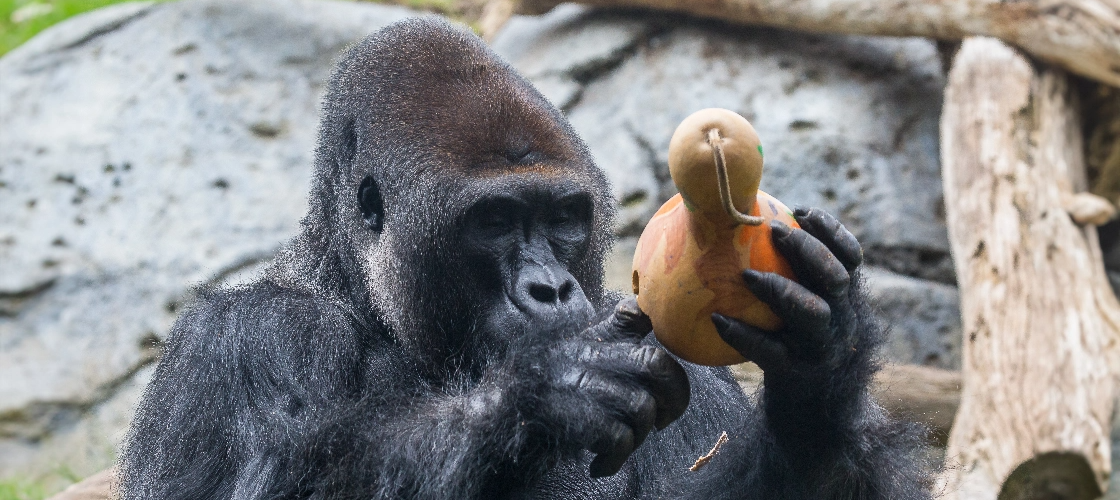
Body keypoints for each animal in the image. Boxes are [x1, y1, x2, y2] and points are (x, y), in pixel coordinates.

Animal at [118, 15, 931, 500]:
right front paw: (554, 391)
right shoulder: (240, 337)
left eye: (564, 216)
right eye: (494, 221)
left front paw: (820, 374)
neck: (363, 297)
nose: (551, 291)